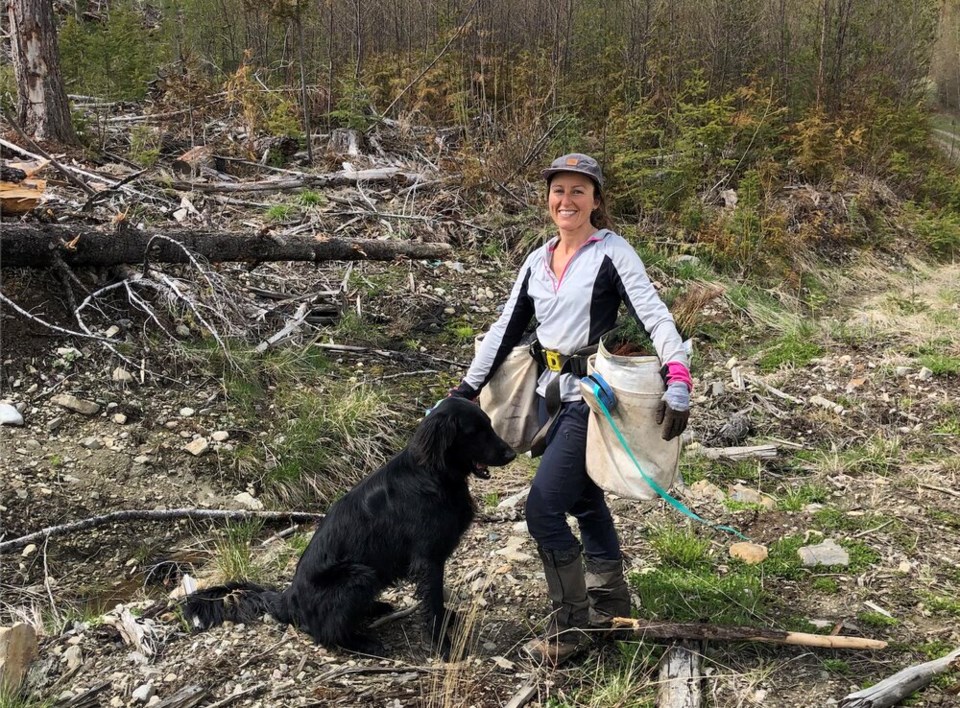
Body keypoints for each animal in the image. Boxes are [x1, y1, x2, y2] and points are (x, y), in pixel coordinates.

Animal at [186, 398, 516, 660]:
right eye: (475, 432)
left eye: (489, 424)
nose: (512, 454)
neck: (434, 474)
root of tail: (287, 600)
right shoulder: (427, 560)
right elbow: (432, 603)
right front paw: (443, 646)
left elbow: (437, 601)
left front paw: (448, 619)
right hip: (358, 575)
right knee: (327, 634)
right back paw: (364, 643)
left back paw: (376, 609)